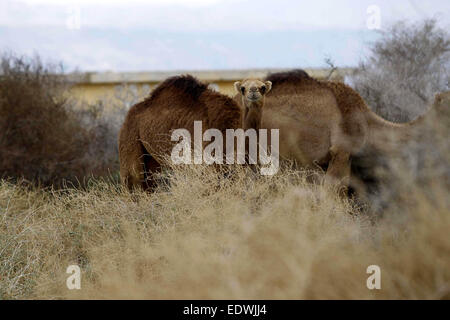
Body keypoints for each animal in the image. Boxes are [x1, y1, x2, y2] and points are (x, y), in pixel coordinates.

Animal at [118, 75, 270, 190]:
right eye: (243, 88)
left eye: (263, 88)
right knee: (133, 179)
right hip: (130, 136)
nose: (253, 91)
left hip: (151, 156)